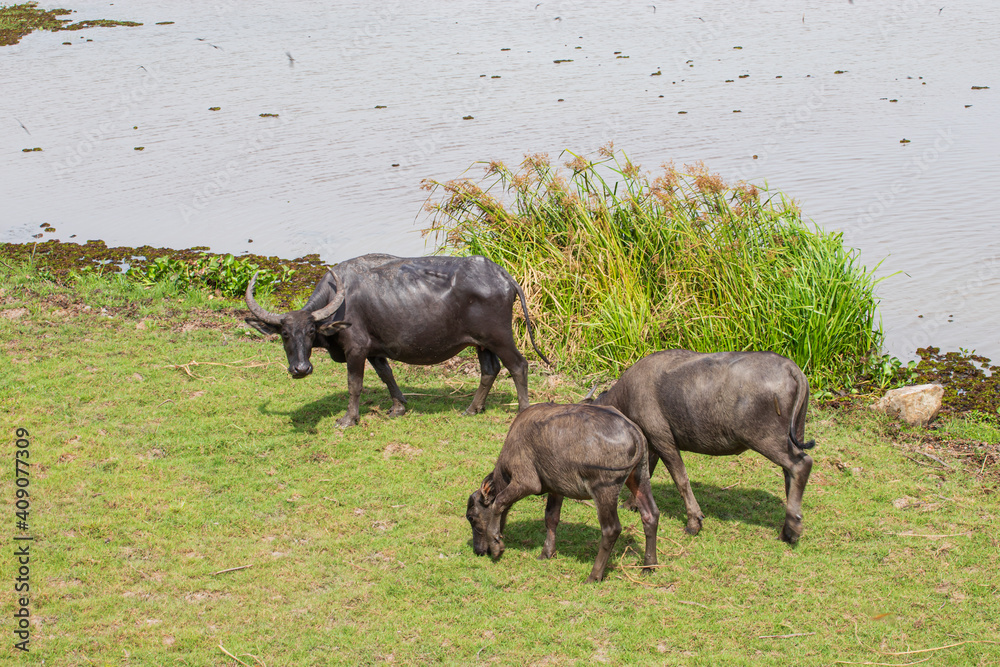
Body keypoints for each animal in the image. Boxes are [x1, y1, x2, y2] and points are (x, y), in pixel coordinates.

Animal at [245, 253, 552, 430]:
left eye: (310, 331)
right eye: (285, 334)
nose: (300, 369)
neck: (340, 303)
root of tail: (503, 276)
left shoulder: (356, 349)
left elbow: (354, 385)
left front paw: (348, 420)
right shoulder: (374, 351)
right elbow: (386, 374)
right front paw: (398, 407)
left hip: (499, 338)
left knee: (518, 366)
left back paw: (522, 411)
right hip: (482, 343)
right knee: (490, 370)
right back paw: (472, 409)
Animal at [466, 402, 660, 584]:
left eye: (471, 517)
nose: (478, 550)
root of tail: (632, 430)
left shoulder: (526, 482)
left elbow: (499, 502)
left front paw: (496, 546)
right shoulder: (556, 489)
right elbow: (551, 518)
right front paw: (547, 553)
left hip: (604, 490)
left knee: (611, 529)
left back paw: (594, 576)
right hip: (640, 477)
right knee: (650, 515)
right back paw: (649, 566)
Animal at [588, 350, 816, 544]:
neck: (627, 396)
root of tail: (791, 368)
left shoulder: (663, 440)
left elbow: (681, 479)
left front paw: (693, 522)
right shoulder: (651, 444)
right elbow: (645, 475)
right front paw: (631, 504)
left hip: (766, 439)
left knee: (800, 465)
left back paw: (791, 530)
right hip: (795, 432)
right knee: (790, 473)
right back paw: (789, 525)